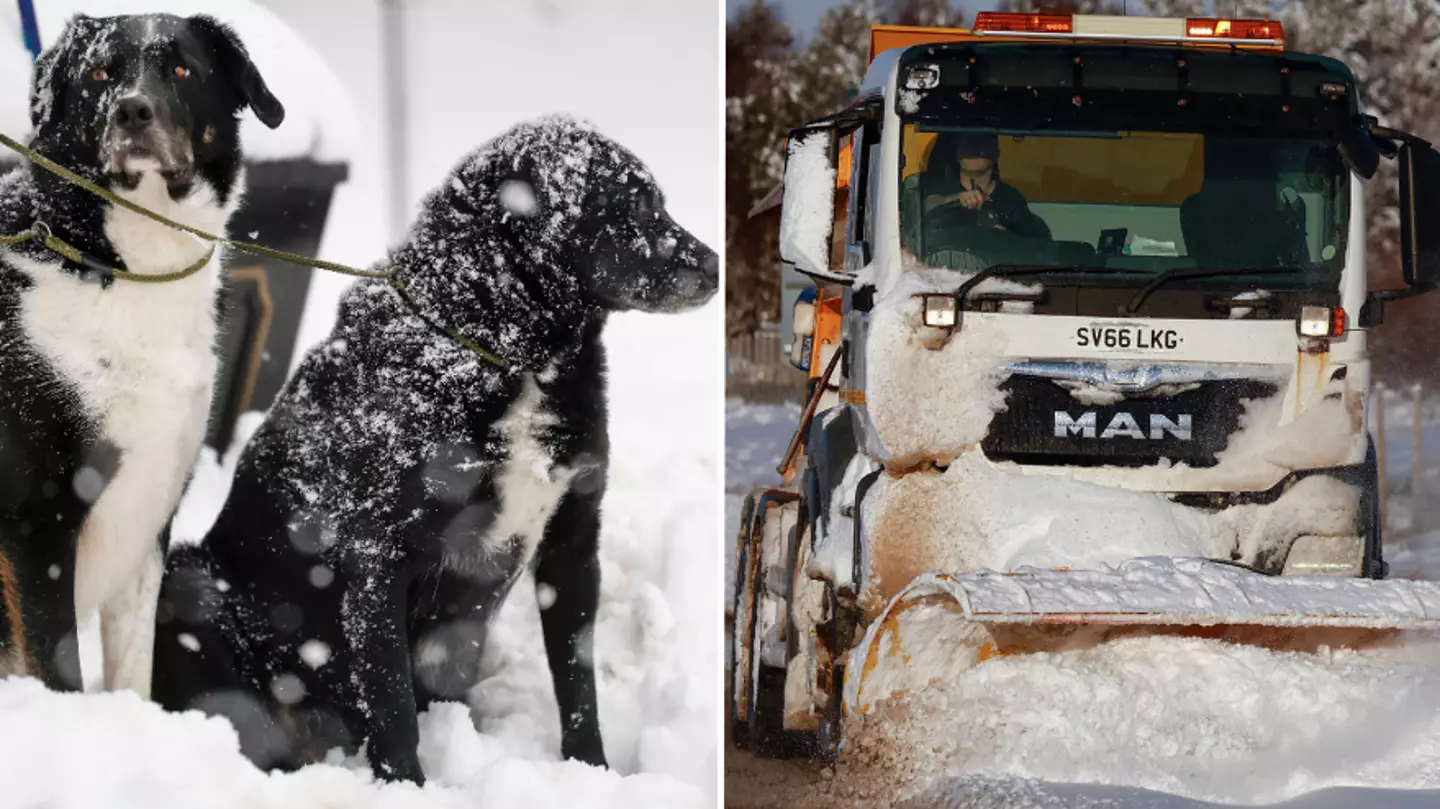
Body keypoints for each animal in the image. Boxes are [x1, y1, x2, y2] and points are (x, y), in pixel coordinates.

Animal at [0, 12, 282, 693]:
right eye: (100, 72)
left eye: (182, 69)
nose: (132, 110)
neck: (119, 265)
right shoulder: (36, 519)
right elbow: (59, 669)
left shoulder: (150, 508)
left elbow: (133, 673)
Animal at [154, 115, 717, 783]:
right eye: (633, 204)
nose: (715, 266)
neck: (506, 350)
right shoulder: (377, 557)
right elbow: (393, 703)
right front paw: (408, 788)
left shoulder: (573, 543)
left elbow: (578, 683)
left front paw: (593, 773)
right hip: (191, 583)